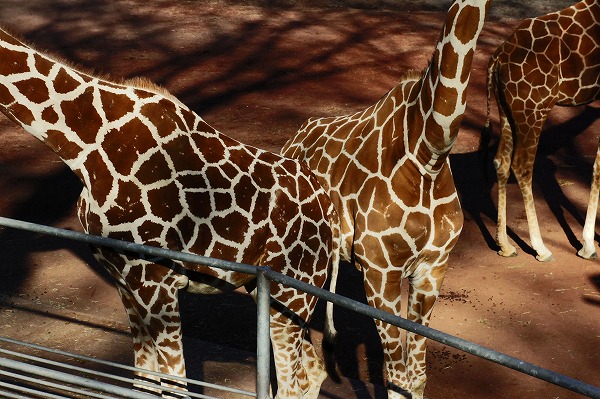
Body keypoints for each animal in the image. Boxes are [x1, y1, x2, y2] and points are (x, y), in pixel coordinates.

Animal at [0, 26, 340, 398]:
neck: (84, 148)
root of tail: (332, 214)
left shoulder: (156, 280)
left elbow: (176, 385)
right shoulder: (124, 278)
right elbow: (141, 381)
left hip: (292, 290)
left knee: (293, 380)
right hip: (274, 291)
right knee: (313, 369)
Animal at [282, 1, 492, 398]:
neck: (428, 153)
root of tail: (292, 140)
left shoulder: (432, 269)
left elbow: (417, 375)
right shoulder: (380, 272)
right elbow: (396, 378)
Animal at [488, 0, 600, 262]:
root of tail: (498, 57)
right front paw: (588, 245)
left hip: (507, 109)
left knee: (501, 162)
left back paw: (505, 246)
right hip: (534, 108)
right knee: (522, 166)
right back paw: (541, 248)